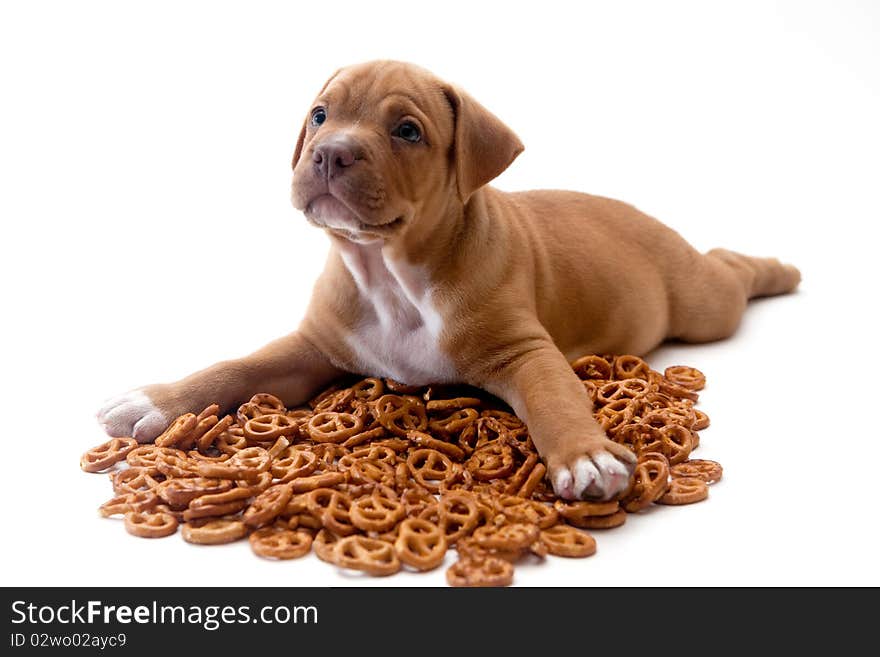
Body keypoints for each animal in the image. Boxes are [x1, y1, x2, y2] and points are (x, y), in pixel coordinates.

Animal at [96, 62, 796, 502]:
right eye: (319, 115)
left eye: (407, 131)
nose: (329, 152)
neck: (389, 274)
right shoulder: (314, 348)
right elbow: (236, 368)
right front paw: (156, 401)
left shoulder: (525, 353)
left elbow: (555, 399)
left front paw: (586, 455)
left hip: (702, 307)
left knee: (728, 273)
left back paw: (778, 270)